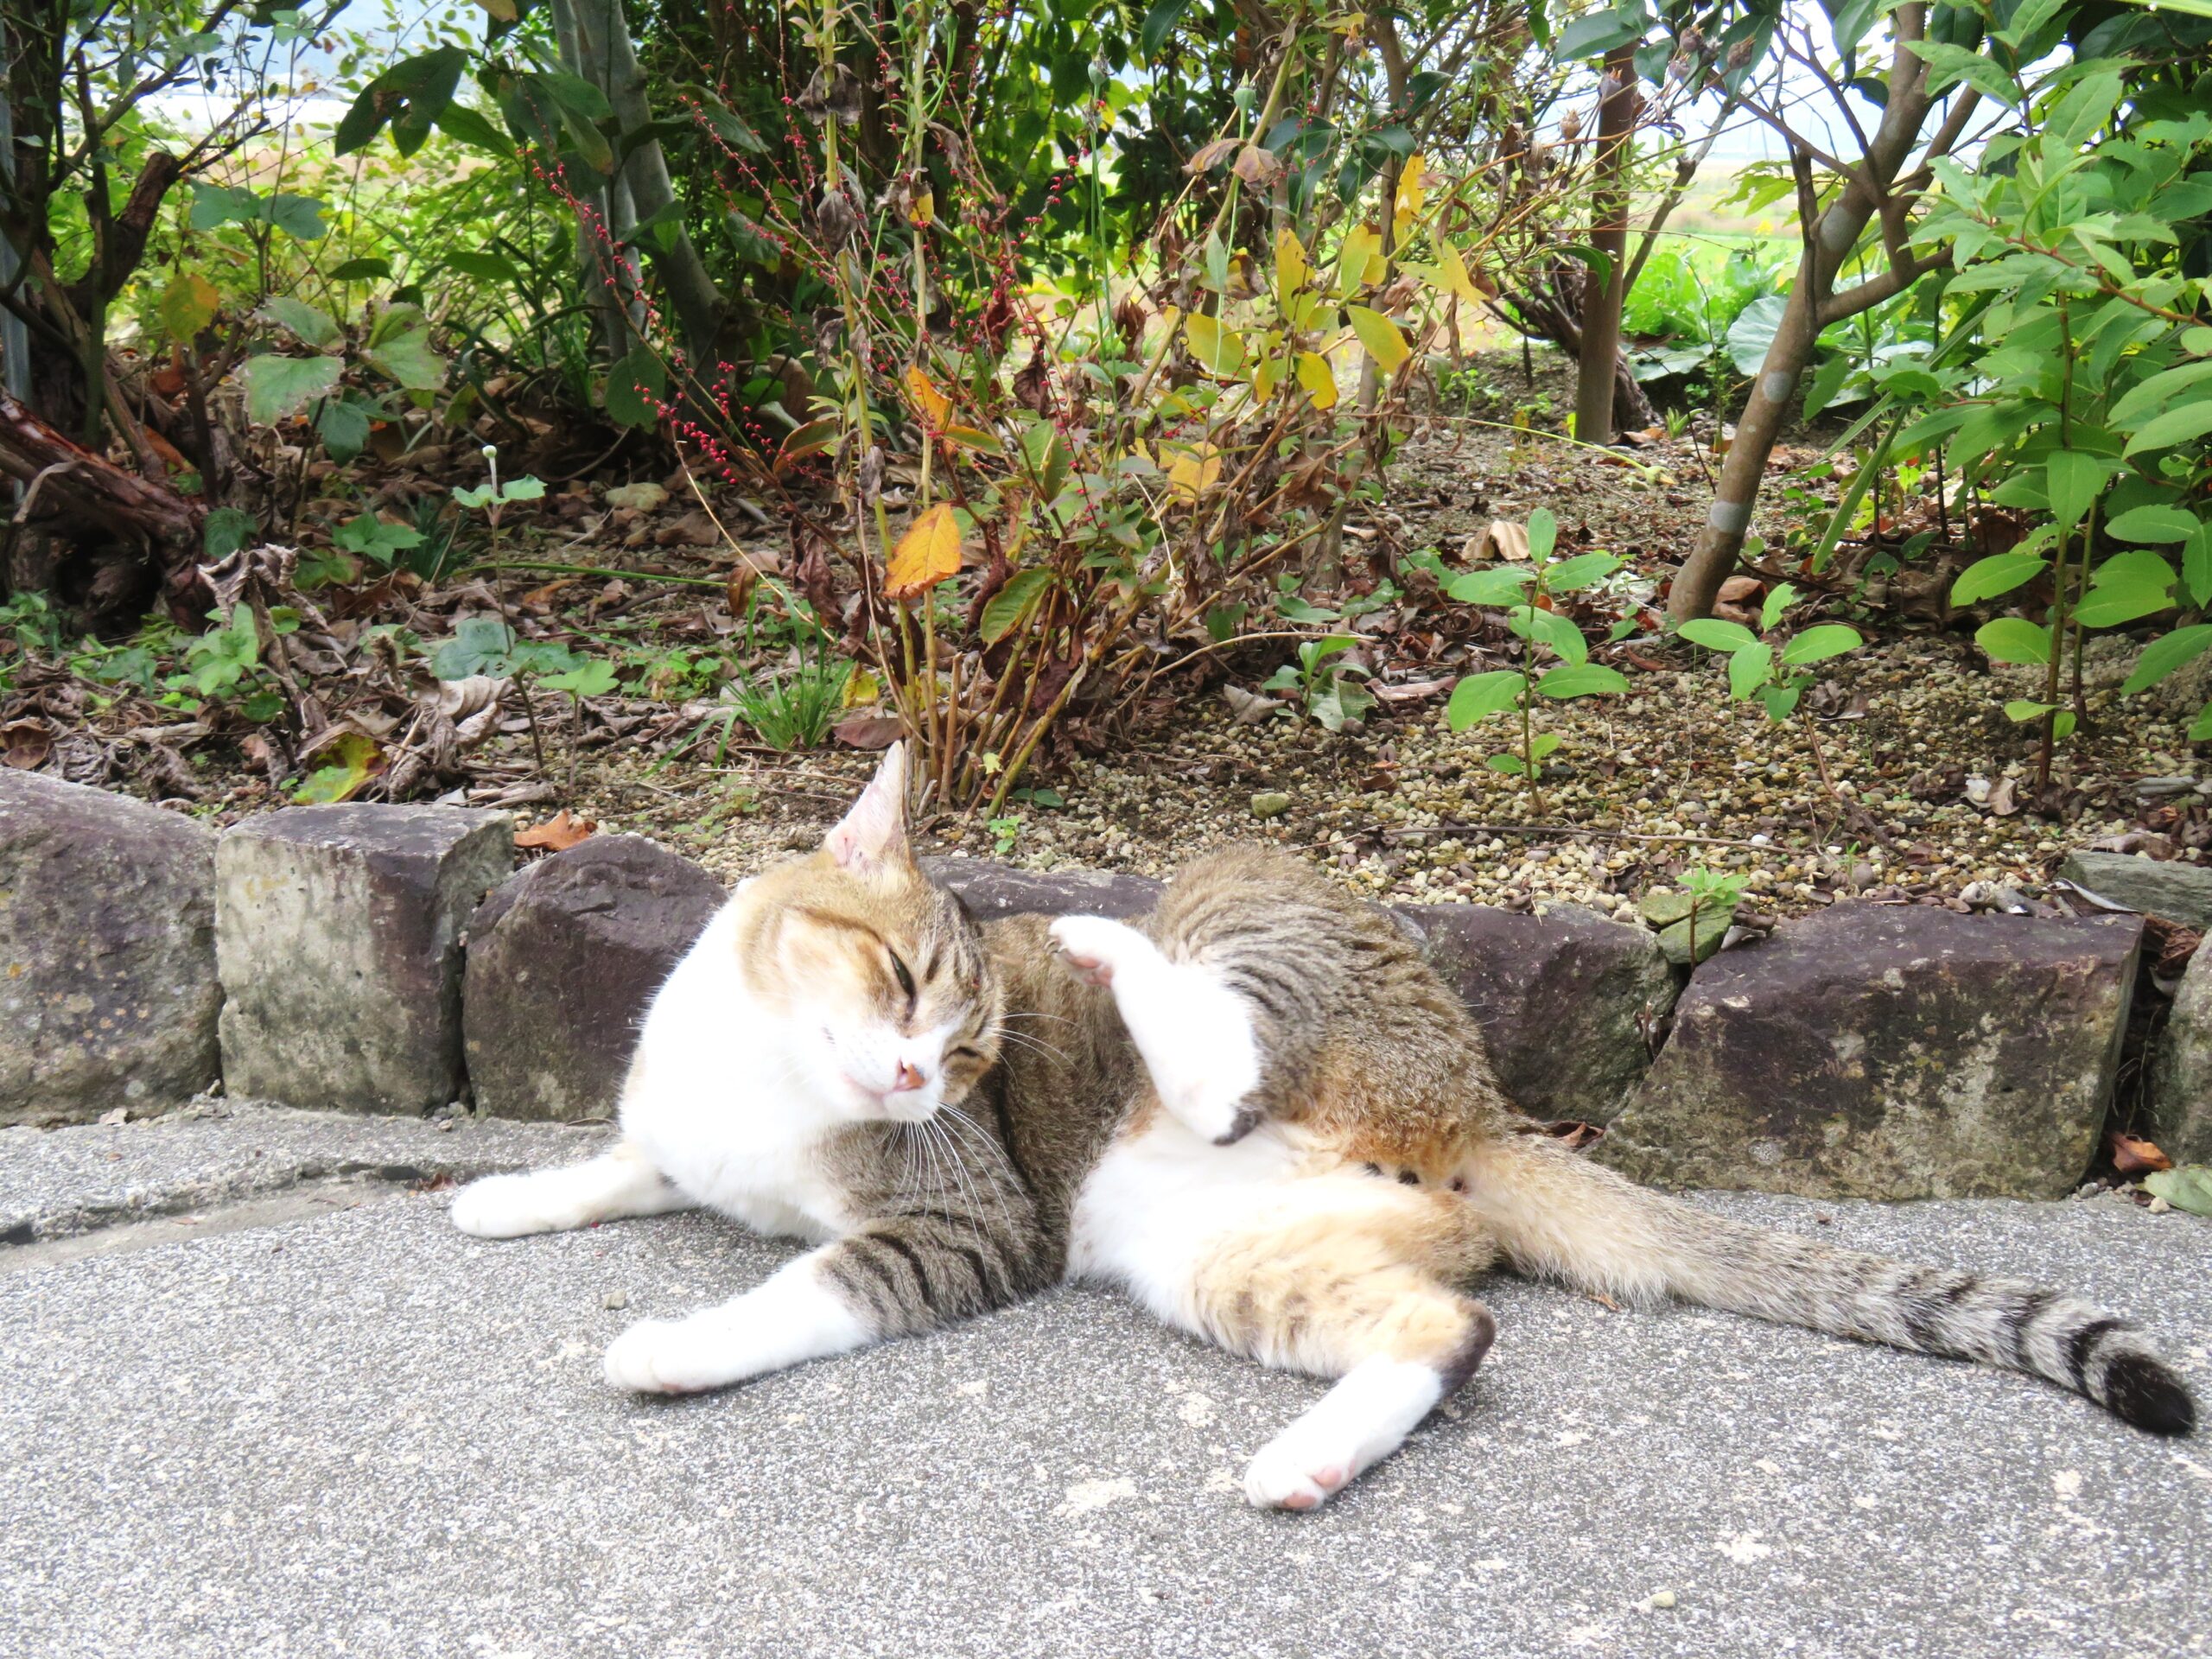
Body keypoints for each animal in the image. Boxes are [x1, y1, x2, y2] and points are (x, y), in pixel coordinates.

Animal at [453, 747, 2194, 1513]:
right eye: (896, 985)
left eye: (968, 1054)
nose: (910, 1083)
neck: (760, 1083)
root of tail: (1483, 1110)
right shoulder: (676, 1141)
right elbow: (613, 1167)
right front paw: (499, 1200)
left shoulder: (967, 1227)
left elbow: (807, 1290)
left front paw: (676, 1347)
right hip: (1224, 1255)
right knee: (1447, 1329)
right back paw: (1308, 1456)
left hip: (1243, 900)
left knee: (1226, 1058)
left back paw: (1114, 942)